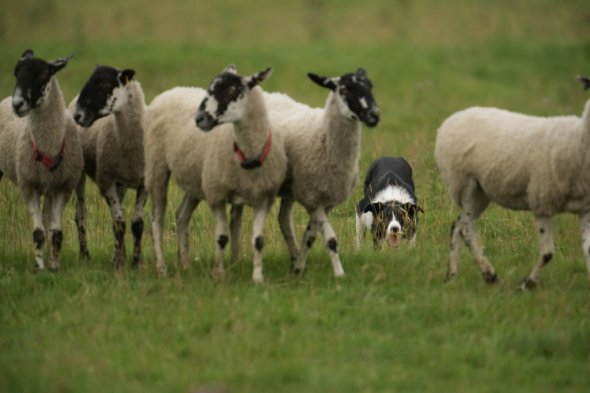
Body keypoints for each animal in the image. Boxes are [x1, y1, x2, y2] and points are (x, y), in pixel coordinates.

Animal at [0, 49, 83, 270]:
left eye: (43, 74)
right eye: (16, 73)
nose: (18, 104)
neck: (48, 145)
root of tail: (4, 99)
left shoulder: (63, 188)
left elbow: (56, 233)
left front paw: (55, 268)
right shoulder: (28, 186)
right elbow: (38, 233)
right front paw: (40, 268)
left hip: (50, 188)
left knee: (48, 224)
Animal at [146, 64, 290, 282]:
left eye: (231, 91)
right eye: (210, 89)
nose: (199, 118)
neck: (247, 155)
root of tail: (171, 91)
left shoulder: (264, 199)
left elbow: (258, 240)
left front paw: (258, 278)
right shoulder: (216, 195)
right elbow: (222, 237)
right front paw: (219, 274)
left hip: (196, 180)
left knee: (182, 215)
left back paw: (185, 264)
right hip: (157, 166)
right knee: (157, 219)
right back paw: (162, 268)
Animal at [434, 75, 590, 288]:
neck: (579, 139)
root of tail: (451, 120)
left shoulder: (585, 208)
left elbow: (588, 251)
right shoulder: (542, 200)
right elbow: (548, 253)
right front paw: (527, 284)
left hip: (480, 192)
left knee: (458, 226)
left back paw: (453, 276)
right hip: (465, 184)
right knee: (465, 229)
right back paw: (489, 274)